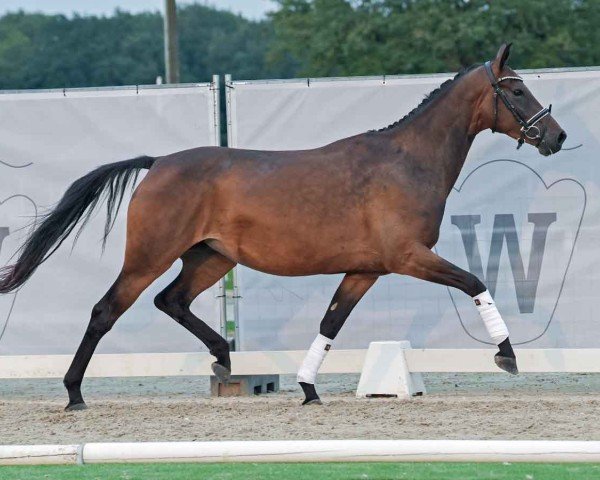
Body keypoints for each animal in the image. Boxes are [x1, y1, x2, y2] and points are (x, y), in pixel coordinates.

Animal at [0, 44, 564, 408]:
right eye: (516, 90)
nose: (555, 136)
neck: (408, 161)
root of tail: (158, 163)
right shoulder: (409, 258)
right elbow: (475, 281)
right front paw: (507, 355)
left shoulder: (365, 269)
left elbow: (331, 324)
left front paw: (308, 388)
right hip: (148, 256)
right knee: (107, 310)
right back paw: (74, 393)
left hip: (210, 257)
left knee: (172, 301)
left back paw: (224, 358)